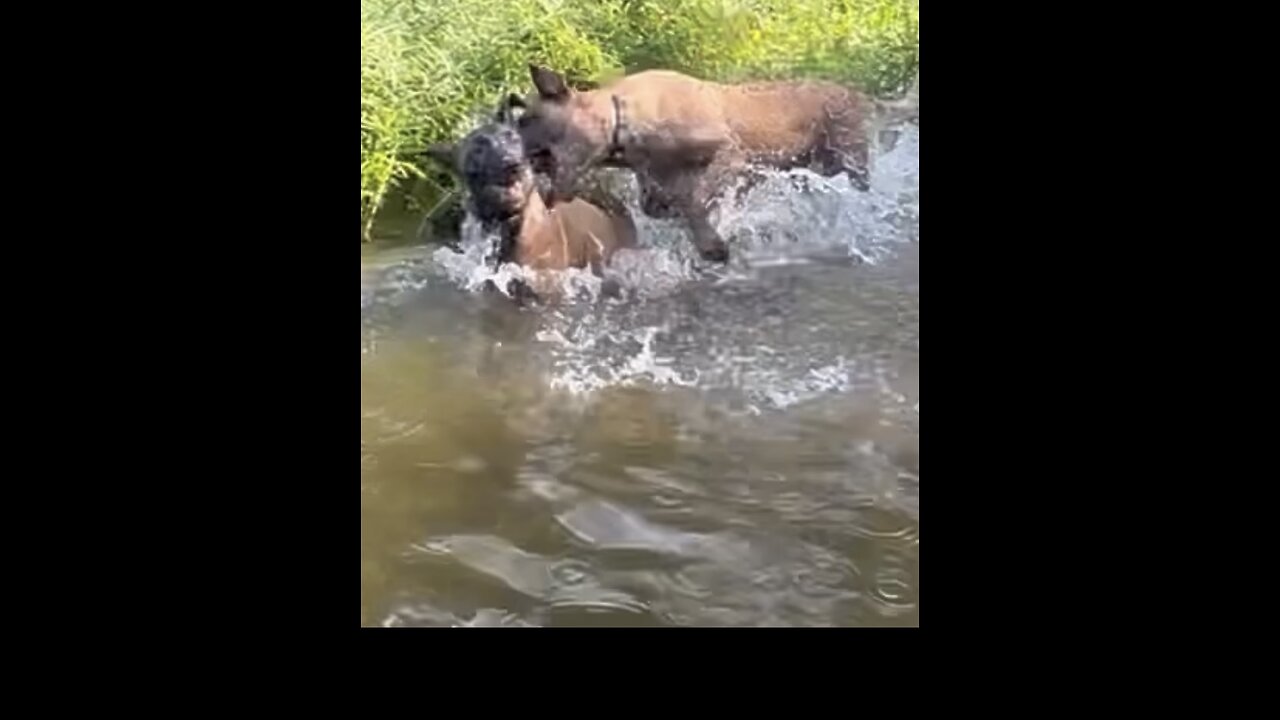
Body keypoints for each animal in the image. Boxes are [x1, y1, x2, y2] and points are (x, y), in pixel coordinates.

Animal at [514, 64, 916, 260]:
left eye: (526, 119)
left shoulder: (729, 154)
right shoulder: (656, 184)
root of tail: (860, 96)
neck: (620, 118)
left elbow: (696, 202)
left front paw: (713, 243)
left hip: (850, 162)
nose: (502, 130)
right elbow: (669, 204)